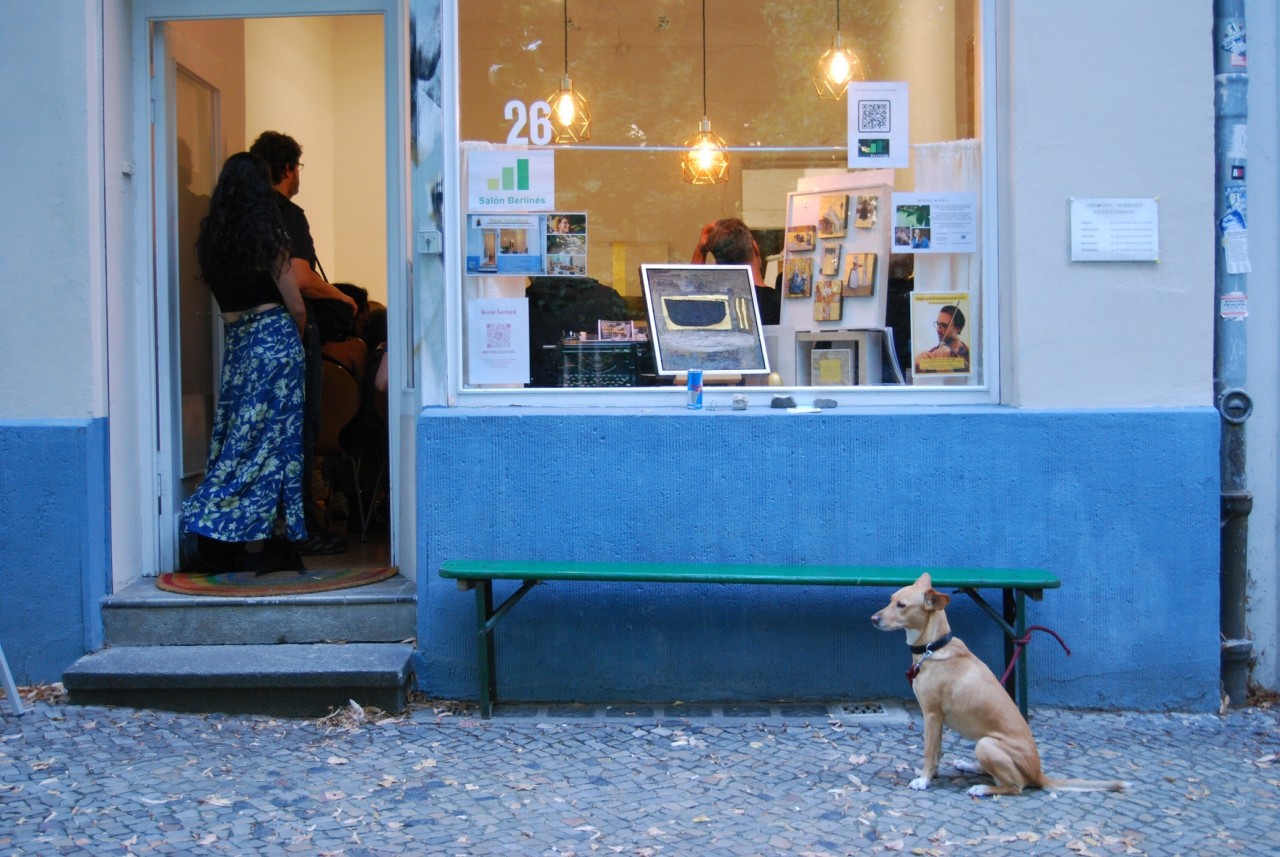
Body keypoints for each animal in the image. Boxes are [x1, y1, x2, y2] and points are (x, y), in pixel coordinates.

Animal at [870, 573, 1131, 803]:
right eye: (891, 599)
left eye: (901, 605)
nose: (873, 619)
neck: (933, 648)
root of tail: (1038, 773)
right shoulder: (938, 719)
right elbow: (937, 751)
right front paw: (932, 775)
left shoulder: (932, 715)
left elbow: (928, 752)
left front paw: (924, 780)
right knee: (993, 774)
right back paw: (967, 765)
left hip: (987, 744)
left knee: (1014, 786)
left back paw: (981, 788)